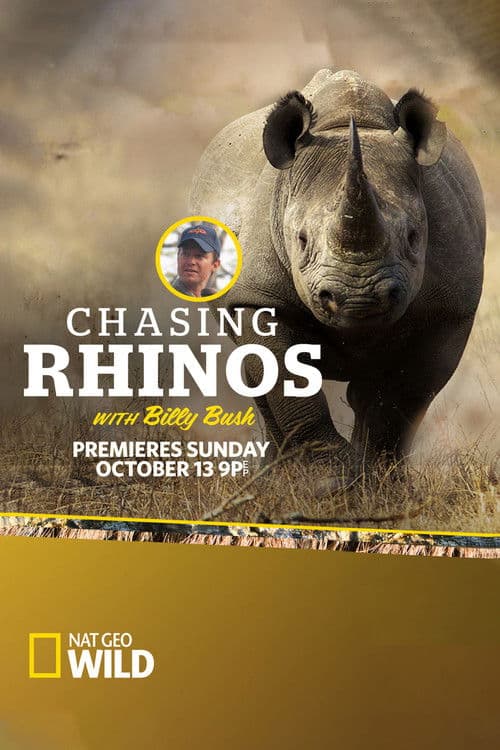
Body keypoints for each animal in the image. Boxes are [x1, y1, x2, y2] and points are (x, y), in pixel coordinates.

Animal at [190, 69, 485, 485]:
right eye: (301, 240)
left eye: (413, 237)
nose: (358, 300)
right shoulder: (257, 296)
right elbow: (286, 380)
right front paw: (328, 482)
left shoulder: (450, 307)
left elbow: (403, 396)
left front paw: (378, 482)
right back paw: (273, 480)